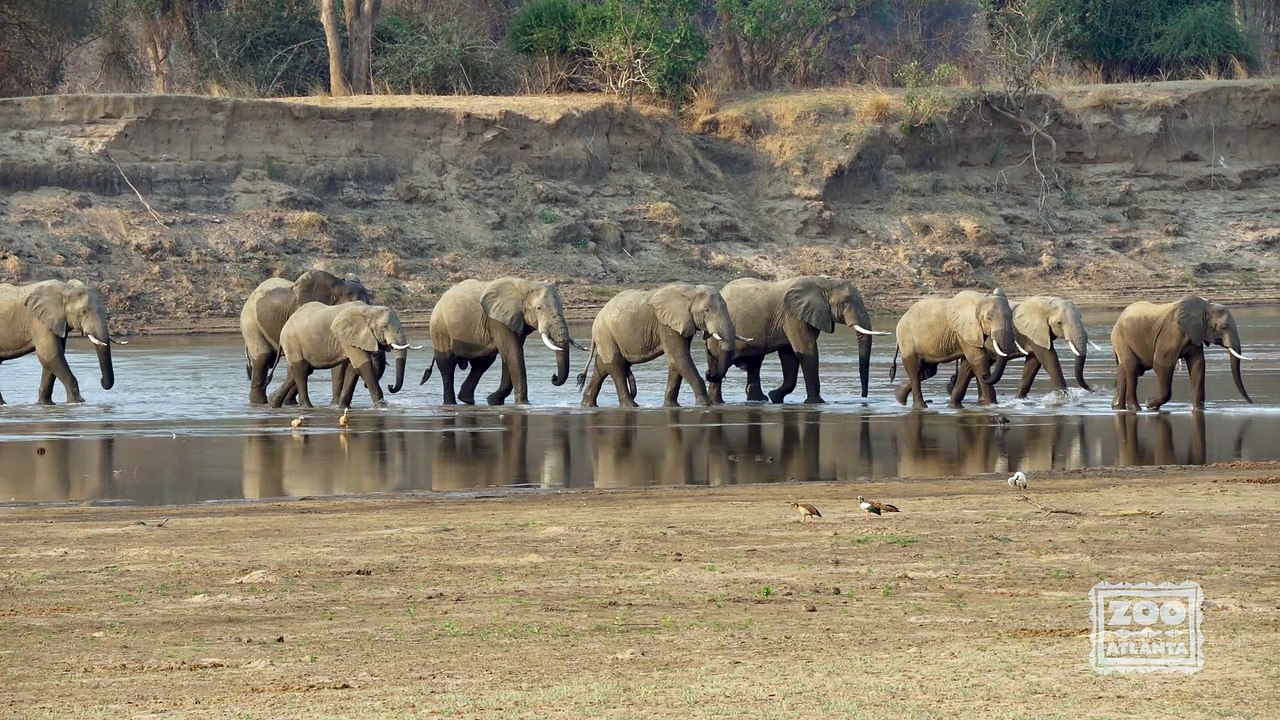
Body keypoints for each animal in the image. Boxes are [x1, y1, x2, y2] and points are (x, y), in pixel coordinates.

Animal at [271, 302, 414, 409]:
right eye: (384, 326)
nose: (390, 386)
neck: (369, 308)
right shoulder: (346, 337)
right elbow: (363, 365)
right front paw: (382, 407)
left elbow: (353, 369)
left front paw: (343, 407)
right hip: (292, 341)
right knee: (301, 370)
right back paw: (307, 407)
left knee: (299, 371)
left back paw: (273, 403)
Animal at [421, 277, 584, 405]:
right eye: (538, 308)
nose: (554, 377)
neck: (525, 285)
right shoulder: (497, 320)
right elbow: (513, 353)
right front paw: (524, 404)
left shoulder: (515, 319)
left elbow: (510, 355)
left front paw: (494, 401)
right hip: (439, 327)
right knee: (447, 365)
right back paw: (451, 403)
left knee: (482, 364)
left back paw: (467, 400)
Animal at [577, 283, 737, 407]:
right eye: (706, 310)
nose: (708, 372)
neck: (690, 290)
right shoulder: (666, 324)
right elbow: (678, 358)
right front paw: (705, 404)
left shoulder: (682, 323)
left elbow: (676, 362)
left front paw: (671, 406)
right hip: (605, 333)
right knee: (616, 366)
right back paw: (632, 406)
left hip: (607, 337)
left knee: (603, 366)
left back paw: (587, 405)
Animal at [706, 276, 889, 404]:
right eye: (845, 302)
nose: (863, 396)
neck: (823, 283)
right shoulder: (793, 316)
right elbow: (806, 350)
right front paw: (817, 403)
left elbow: (790, 356)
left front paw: (775, 397)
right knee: (720, 362)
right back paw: (718, 401)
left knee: (755, 363)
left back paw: (759, 400)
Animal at [1111, 295, 1252, 411]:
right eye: (1223, 328)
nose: (1251, 403)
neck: (1206, 306)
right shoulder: (1171, 333)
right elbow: (1162, 365)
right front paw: (1150, 404)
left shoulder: (1195, 334)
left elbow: (1198, 365)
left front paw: (1198, 409)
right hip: (1121, 339)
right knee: (1132, 368)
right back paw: (1136, 408)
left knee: (1122, 369)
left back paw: (1117, 407)